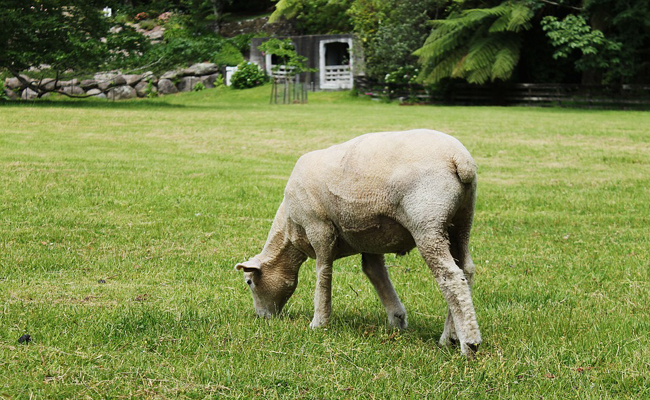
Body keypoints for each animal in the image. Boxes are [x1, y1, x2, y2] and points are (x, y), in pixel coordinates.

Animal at [235, 129, 478, 356]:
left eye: (249, 282)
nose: (263, 318)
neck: (288, 229)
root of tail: (458, 158)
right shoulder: (371, 241)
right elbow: (375, 273)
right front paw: (397, 319)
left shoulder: (319, 229)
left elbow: (323, 274)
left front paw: (319, 322)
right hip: (461, 221)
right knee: (465, 270)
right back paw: (451, 336)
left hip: (427, 222)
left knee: (450, 277)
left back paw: (468, 344)